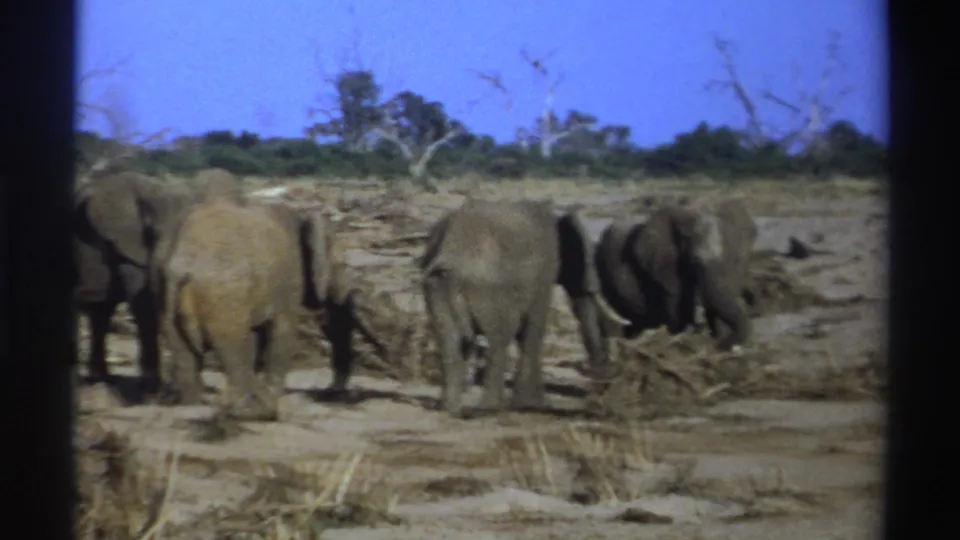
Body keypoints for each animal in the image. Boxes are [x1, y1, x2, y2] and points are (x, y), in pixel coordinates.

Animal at [157, 196, 374, 420]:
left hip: (164, 288)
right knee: (235, 345)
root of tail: (184, 265)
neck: (302, 218)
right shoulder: (289, 281)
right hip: (224, 296)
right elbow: (282, 332)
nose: (330, 393)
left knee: (182, 347)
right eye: (342, 266)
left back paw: (192, 403)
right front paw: (269, 402)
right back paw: (251, 410)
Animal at [419, 198, 630, 417]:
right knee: (498, 337)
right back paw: (489, 408)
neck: (558, 217)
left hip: (437, 286)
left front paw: (536, 404)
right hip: (486, 288)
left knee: (449, 341)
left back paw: (449, 408)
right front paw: (531, 405)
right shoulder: (546, 268)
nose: (603, 367)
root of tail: (447, 250)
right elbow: (533, 328)